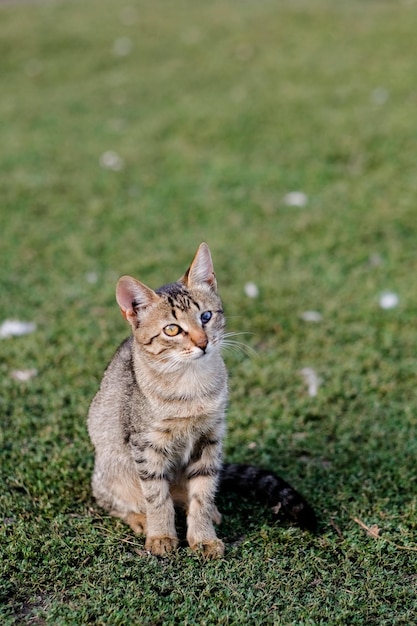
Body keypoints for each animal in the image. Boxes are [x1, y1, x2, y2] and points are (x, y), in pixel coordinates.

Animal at [88, 243, 316, 556]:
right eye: (172, 329)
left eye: (206, 317)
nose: (203, 343)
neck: (191, 385)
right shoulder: (146, 445)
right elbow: (156, 497)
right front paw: (161, 535)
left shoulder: (209, 439)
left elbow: (202, 494)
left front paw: (204, 536)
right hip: (111, 469)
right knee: (115, 500)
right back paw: (139, 518)